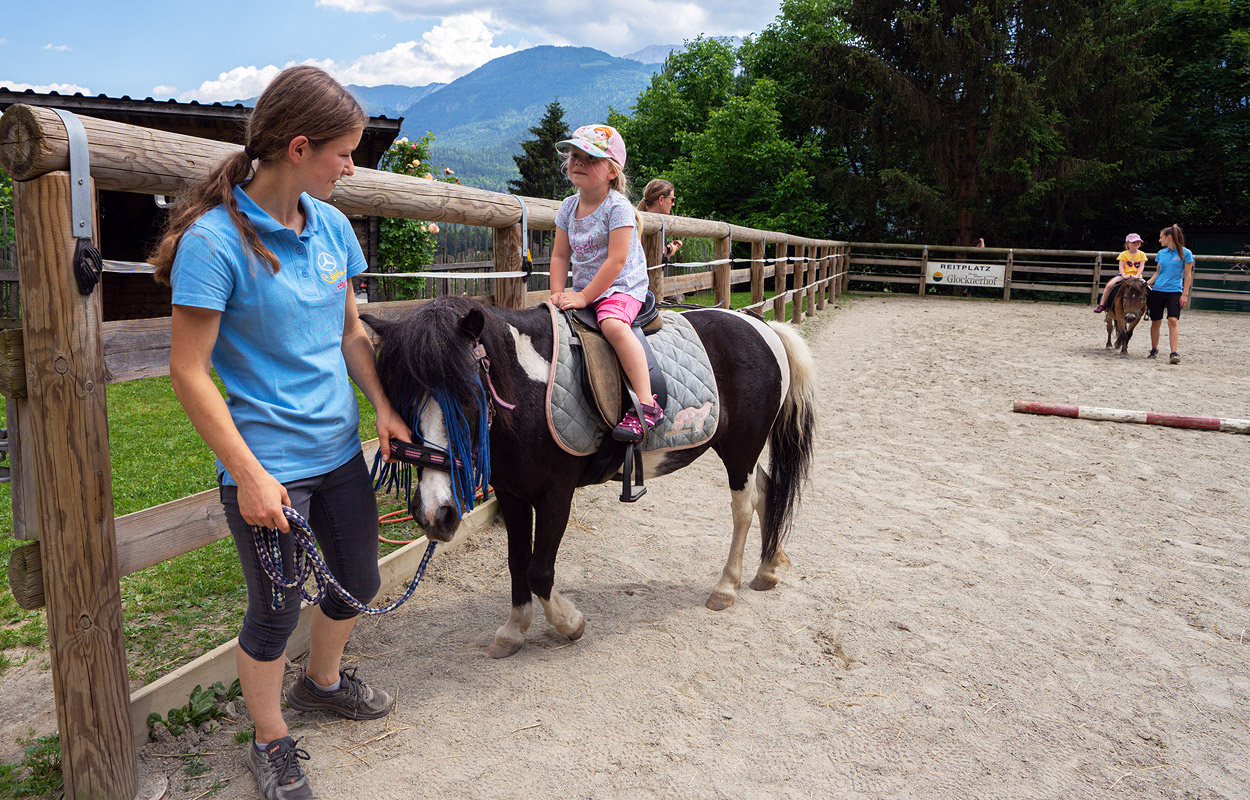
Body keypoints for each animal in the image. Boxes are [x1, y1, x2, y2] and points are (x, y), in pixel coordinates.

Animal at [361, 296, 817, 658]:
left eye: (467, 397)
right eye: (400, 401)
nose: (433, 514)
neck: (528, 392)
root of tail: (761, 325)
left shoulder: (555, 494)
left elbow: (539, 571)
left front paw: (570, 623)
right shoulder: (511, 494)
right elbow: (516, 562)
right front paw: (514, 630)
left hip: (740, 449)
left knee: (744, 508)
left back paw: (726, 587)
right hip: (742, 452)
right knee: (767, 491)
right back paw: (767, 568)